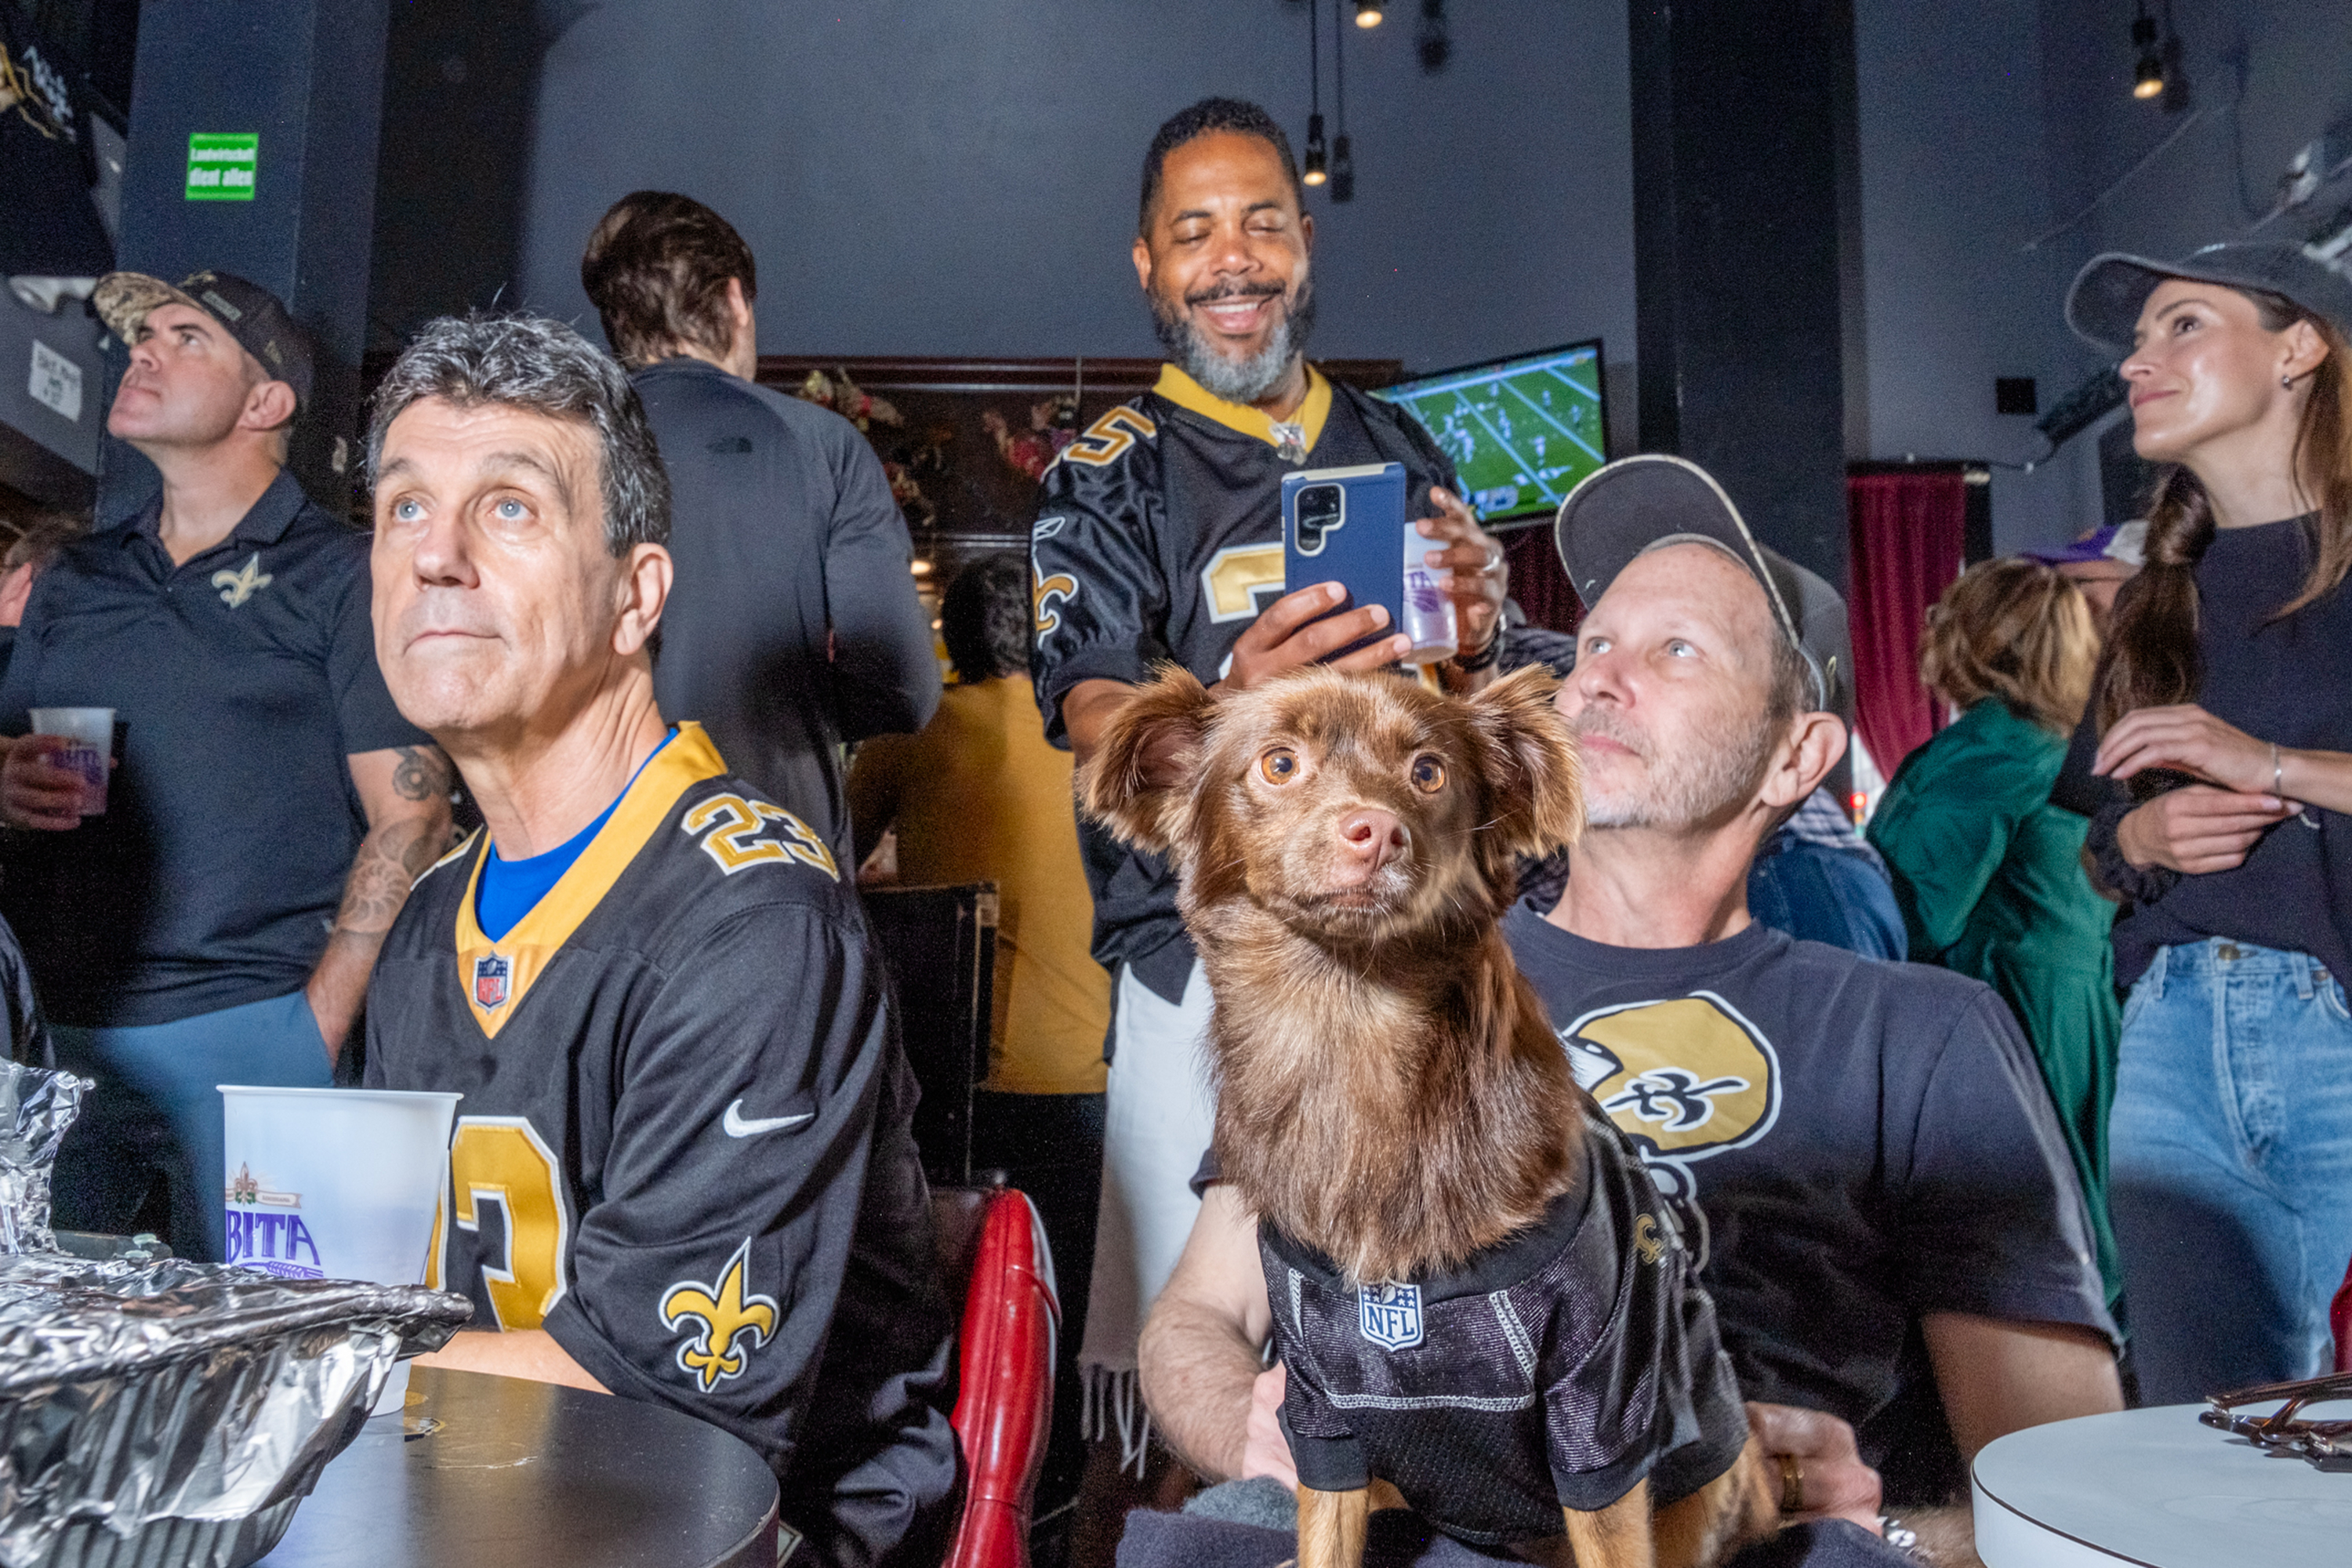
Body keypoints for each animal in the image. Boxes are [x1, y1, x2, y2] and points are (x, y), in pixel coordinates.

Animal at [1077, 667, 1769, 1568]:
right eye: (1279, 763)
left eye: (1430, 773)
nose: (1378, 832)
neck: (1352, 1018)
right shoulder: (1323, 1416)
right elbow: (1324, 1539)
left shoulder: (1600, 1408)